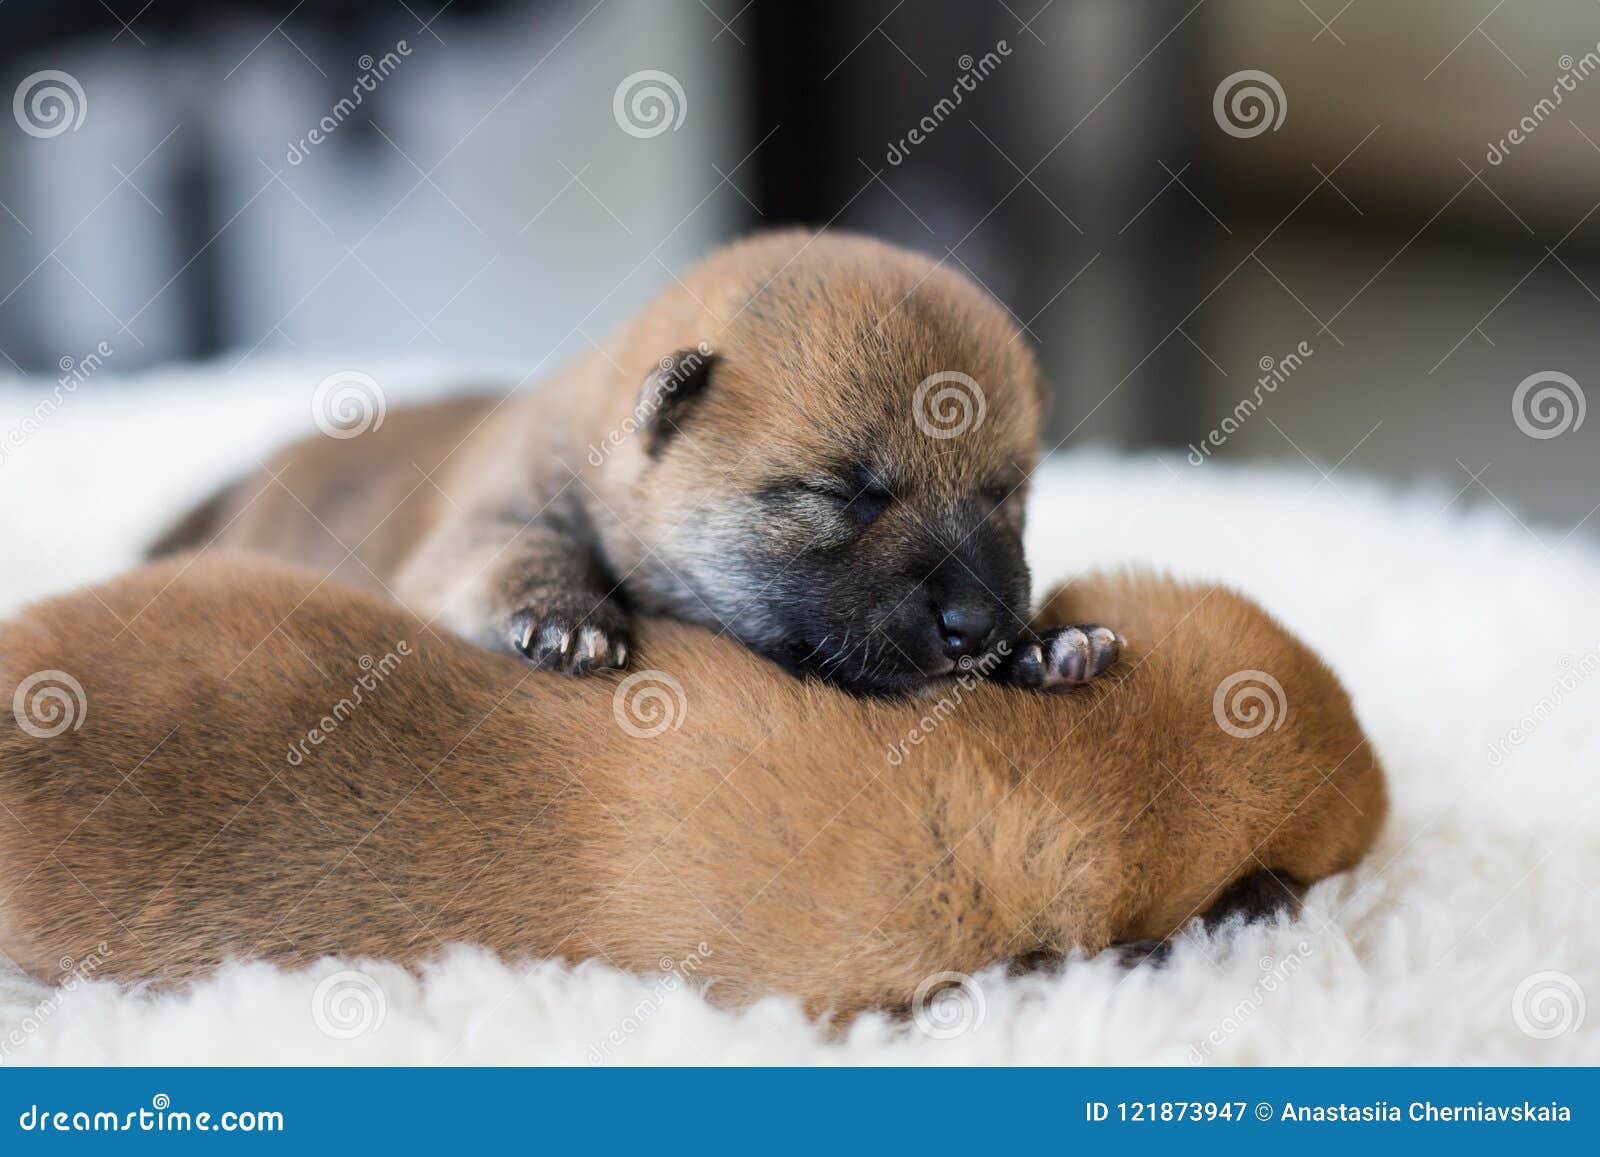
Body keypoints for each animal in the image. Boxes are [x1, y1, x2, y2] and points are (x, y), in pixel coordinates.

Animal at [144, 230, 1107, 691]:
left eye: (1007, 494)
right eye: (844, 492)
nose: (975, 625)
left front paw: (1046, 642)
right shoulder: (477, 527)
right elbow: (518, 551)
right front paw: (567, 617)